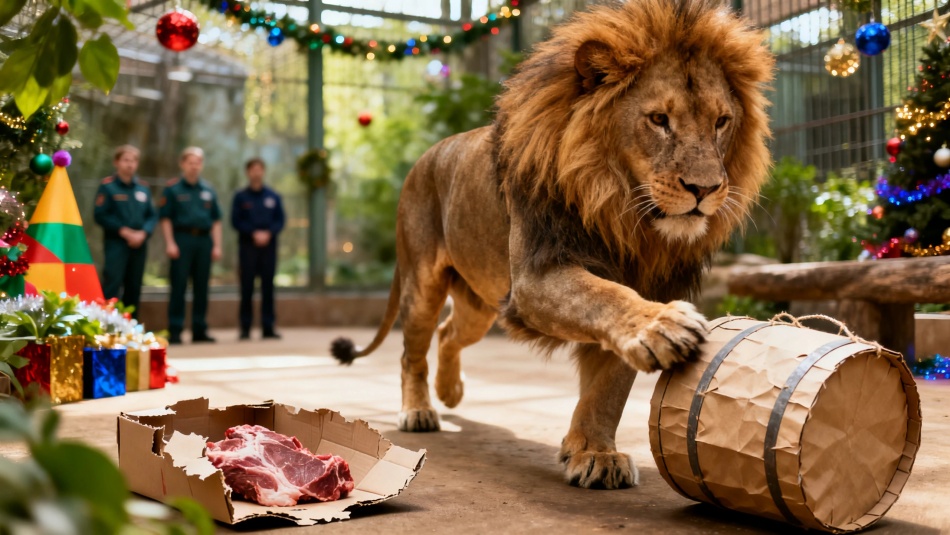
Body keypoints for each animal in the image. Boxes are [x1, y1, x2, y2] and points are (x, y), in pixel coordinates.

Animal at [331, 0, 774, 490]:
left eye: (721, 122)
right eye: (659, 120)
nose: (705, 189)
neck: (624, 215)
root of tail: (425, 156)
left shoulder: (642, 282)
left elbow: (609, 387)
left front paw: (596, 453)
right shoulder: (536, 276)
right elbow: (604, 296)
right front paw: (663, 326)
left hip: (481, 306)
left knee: (449, 333)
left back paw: (452, 392)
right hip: (423, 281)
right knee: (413, 349)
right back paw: (420, 410)